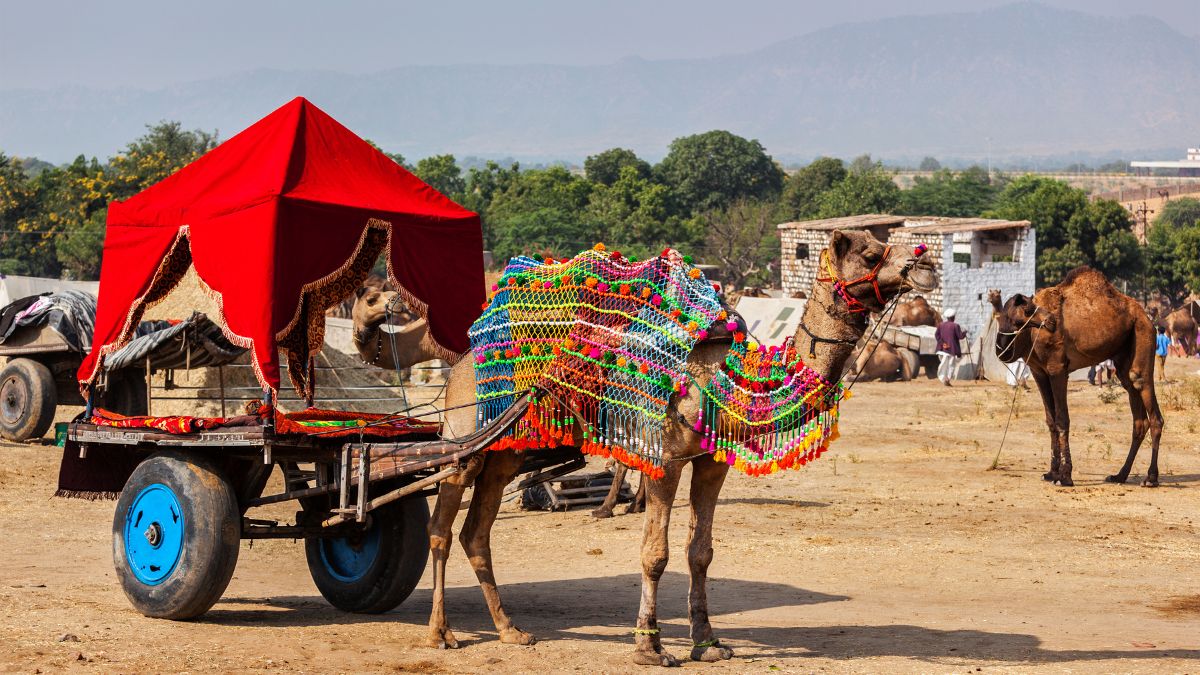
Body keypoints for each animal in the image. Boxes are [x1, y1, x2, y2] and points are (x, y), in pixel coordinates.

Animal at [422, 229, 936, 662]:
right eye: (868, 253)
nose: (927, 264)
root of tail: (462, 359)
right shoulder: (665, 458)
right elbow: (656, 554)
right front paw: (650, 648)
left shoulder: (710, 461)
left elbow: (700, 552)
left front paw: (707, 643)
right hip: (464, 439)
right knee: (441, 528)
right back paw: (440, 633)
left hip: (505, 452)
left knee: (476, 532)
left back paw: (510, 630)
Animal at [993, 265, 1161, 485]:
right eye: (1028, 310)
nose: (1052, 321)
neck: (1028, 336)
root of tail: (1147, 316)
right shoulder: (1039, 372)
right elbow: (1050, 421)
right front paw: (1051, 473)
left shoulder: (1057, 368)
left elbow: (1062, 419)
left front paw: (1065, 476)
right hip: (1124, 358)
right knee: (1139, 419)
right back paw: (1120, 475)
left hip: (1142, 335)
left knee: (1150, 405)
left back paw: (1150, 477)